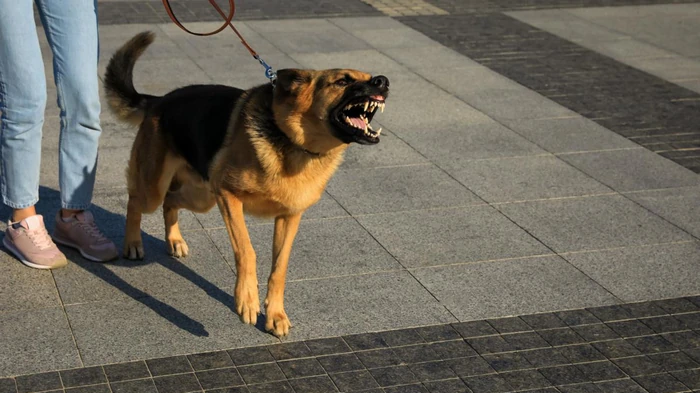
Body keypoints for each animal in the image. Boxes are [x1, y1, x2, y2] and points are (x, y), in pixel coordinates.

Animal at [102, 32, 388, 336]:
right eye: (343, 81)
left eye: (369, 77)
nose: (383, 81)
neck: (291, 140)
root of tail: (158, 101)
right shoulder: (229, 197)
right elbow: (247, 251)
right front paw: (247, 301)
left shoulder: (289, 217)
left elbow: (279, 268)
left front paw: (275, 314)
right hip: (156, 189)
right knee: (136, 202)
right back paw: (133, 243)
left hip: (202, 197)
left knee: (171, 201)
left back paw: (174, 240)